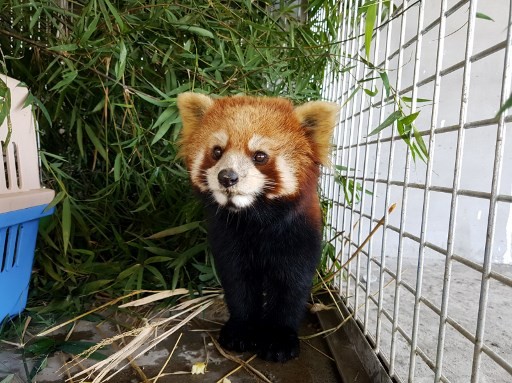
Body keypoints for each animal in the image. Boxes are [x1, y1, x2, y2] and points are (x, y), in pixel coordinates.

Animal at [178, 93, 338, 364]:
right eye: (217, 151)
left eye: (260, 156)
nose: (227, 177)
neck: (253, 218)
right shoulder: (227, 238)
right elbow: (238, 281)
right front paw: (241, 330)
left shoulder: (299, 235)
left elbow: (291, 284)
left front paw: (279, 339)